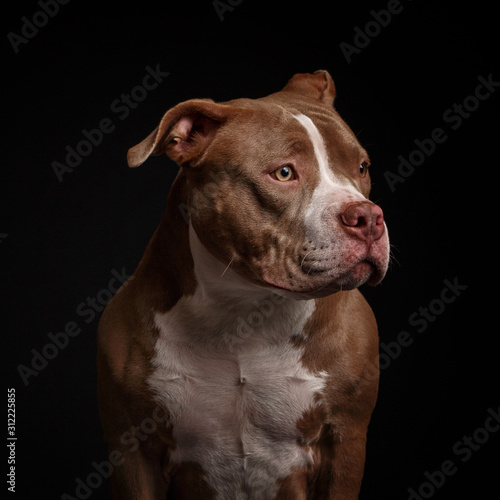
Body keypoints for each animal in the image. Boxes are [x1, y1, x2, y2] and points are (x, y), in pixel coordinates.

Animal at [96, 71, 390, 500]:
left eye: (363, 167)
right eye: (283, 172)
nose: (368, 217)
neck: (244, 310)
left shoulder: (345, 441)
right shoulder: (133, 449)